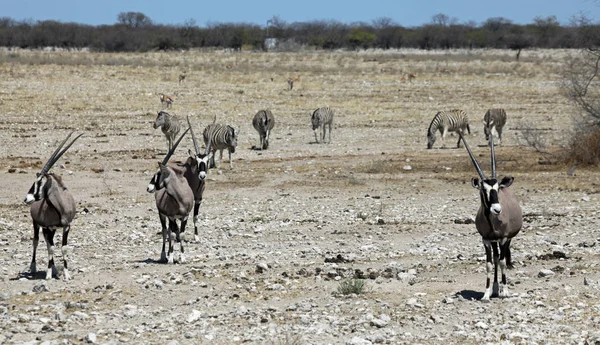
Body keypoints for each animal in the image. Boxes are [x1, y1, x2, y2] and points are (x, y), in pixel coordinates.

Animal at [24, 132, 84, 280]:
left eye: (39, 182)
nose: (27, 198)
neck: (60, 207)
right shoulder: (48, 227)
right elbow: (51, 248)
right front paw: (48, 274)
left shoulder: (66, 226)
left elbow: (63, 248)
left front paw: (66, 274)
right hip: (37, 224)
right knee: (37, 242)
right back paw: (34, 267)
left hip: (52, 229)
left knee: (47, 243)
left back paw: (54, 268)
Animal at [146, 127, 193, 262]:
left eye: (158, 174)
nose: (149, 188)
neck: (180, 197)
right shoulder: (171, 216)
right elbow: (171, 234)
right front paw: (171, 257)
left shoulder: (185, 216)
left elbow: (181, 234)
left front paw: (182, 257)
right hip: (162, 214)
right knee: (165, 231)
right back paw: (164, 255)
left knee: (172, 231)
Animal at [460, 130, 520, 300]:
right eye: (483, 189)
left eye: (497, 188)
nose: (497, 209)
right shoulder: (486, 240)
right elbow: (489, 263)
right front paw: (486, 294)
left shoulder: (504, 238)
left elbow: (503, 262)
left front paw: (505, 292)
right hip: (494, 242)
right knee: (496, 257)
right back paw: (494, 289)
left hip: (507, 239)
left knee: (503, 257)